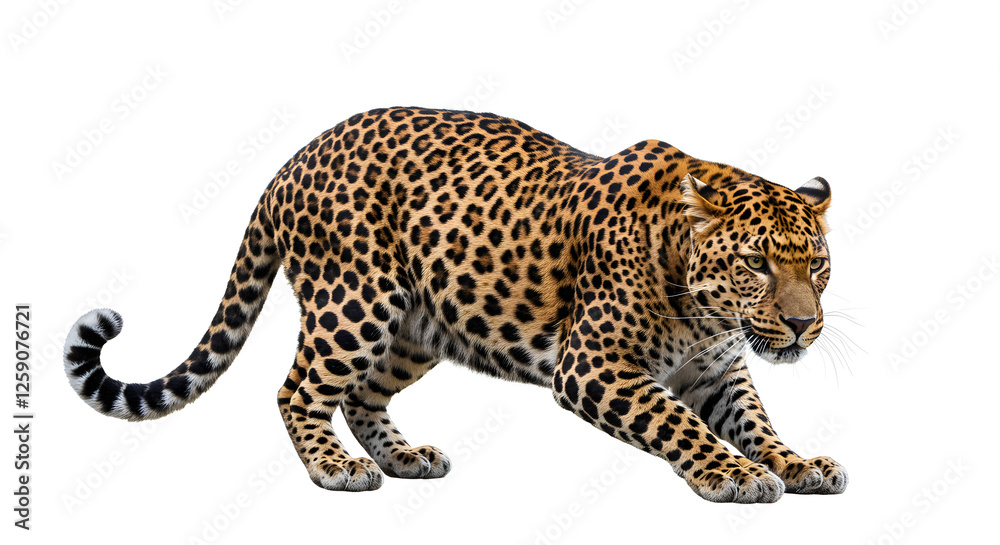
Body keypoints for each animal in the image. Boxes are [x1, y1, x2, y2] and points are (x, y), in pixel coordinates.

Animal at [64, 107, 848, 503]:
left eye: (815, 264)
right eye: (755, 263)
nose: (803, 324)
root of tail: (291, 161)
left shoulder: (718, 369)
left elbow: (754, 421)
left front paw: (797, 463)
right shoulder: (593, 366)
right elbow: (674, 420)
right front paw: (734, 474)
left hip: (416, 327)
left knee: (362, 394)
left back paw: (405, 457)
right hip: (355, 301)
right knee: (297, 390)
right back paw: (333, 468)